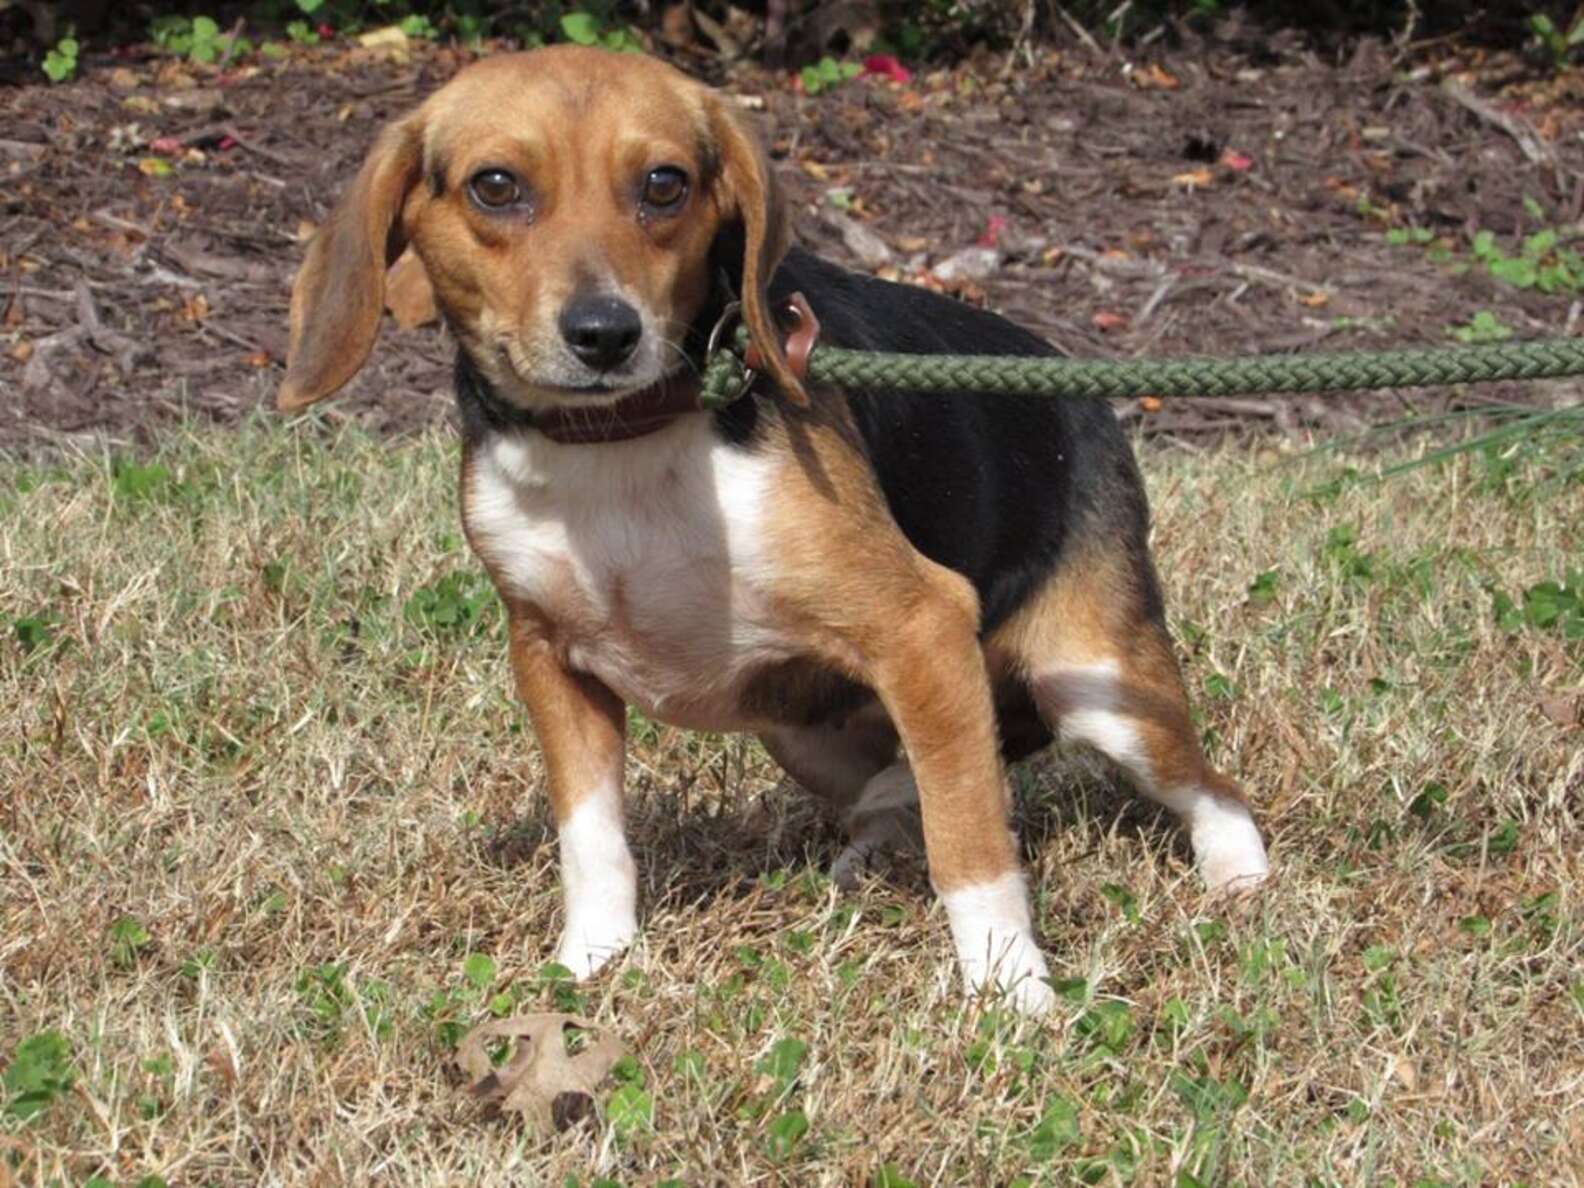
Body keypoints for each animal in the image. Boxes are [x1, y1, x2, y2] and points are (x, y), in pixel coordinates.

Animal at [281, 44, 1273, 1013]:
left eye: (665, 184)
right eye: (495, 186)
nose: (605, 334)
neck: (623, 440)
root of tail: (1082, 395)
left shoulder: (923, 627)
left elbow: (973, 845)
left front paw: (1008, 986)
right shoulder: (549, 657)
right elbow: (591, 836)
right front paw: (592, 961)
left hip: (1099, 686)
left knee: (1204, 790)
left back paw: (1238, 879)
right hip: (795, 726)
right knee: (910, 778)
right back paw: (873, 842)